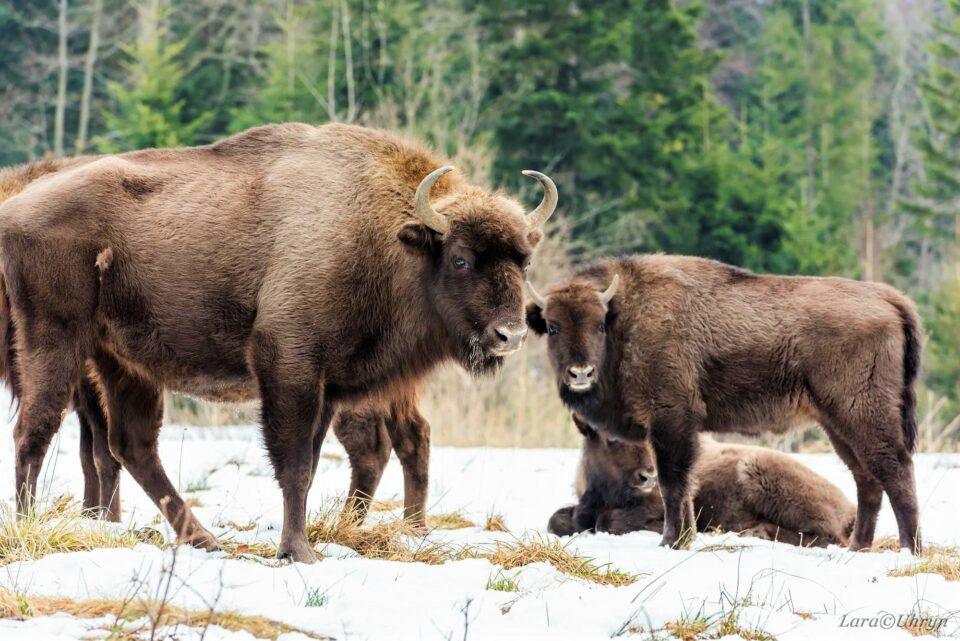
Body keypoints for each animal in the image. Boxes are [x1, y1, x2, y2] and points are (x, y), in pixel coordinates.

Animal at [0, 124, 560, 560]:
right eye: (461, 258)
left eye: (524, 259)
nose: (511, 333)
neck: (383, 234)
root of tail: (17, 211)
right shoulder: (288, 366)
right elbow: (292, 464)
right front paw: (299, 552)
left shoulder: (328, 387)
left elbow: (308, 467)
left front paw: (300, 546)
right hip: (55, 342)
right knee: (37, 430)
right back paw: (29, 526)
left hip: (122, 363)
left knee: (131, 446)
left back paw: (204, 539)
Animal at [548, 418, 856, 548]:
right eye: (610, 438)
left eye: (648, 438)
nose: (648, 475)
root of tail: (850, 507)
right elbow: (558, 520)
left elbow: (607, 521)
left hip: (756, 468)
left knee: (831, 538)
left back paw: (757, 532)